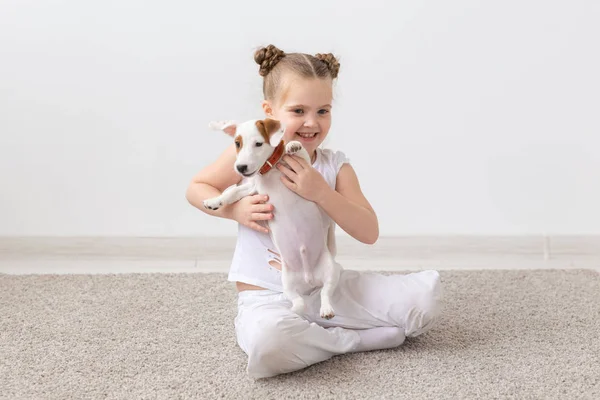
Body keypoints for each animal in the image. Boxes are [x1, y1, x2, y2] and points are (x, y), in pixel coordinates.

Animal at [203, 118, 340, 318]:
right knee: (299, 302)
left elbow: (303, 156)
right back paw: (292, 310)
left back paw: (326, 309)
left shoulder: (306, 171)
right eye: (237, 143)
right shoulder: (252, 187)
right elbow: (232, 192)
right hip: (287, 282)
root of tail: (309, 278)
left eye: (258, 144)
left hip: (330, 270)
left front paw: (294, 145)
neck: (270, 169)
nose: (240, 168)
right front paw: (215, 201)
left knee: (326, 292)